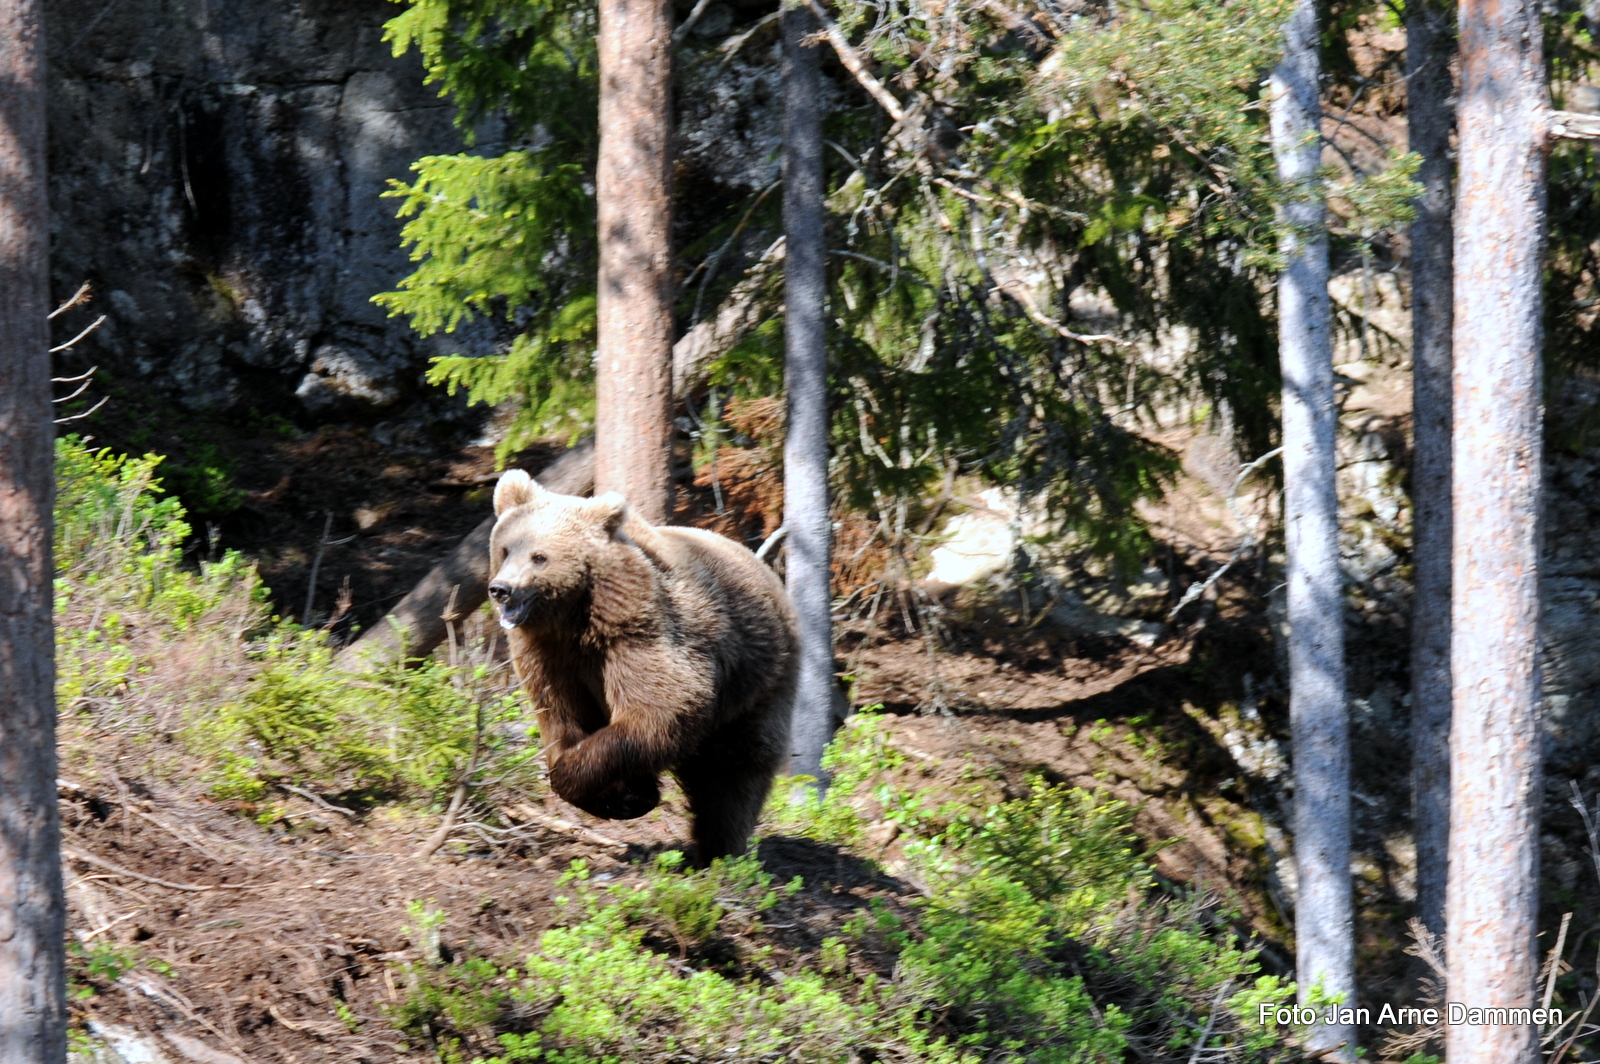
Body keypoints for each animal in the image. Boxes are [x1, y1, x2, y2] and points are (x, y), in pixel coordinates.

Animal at [480, 470, 793, 857]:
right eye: (505, 549)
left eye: (539, 556)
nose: (501, 588)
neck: (572, 617)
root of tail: (764, 567)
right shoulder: (547, 656)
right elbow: (560, 716)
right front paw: (624, 795)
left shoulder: (634, 632)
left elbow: (660, 707)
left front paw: (591, 781)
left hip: (757, 678)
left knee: (736, 769)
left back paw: (717, 849)